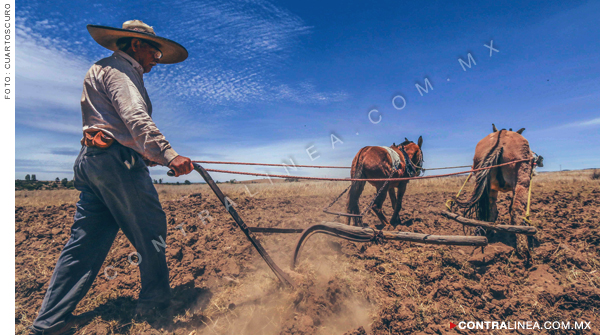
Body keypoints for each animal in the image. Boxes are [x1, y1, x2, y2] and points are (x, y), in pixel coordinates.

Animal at [454, 124, 544, 258]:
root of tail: (500, 142)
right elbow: (512, 207)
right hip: (521, 181)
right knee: (517, 210)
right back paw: (523, 249)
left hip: (487, 185)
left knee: (490, 209)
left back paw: (488, 233)